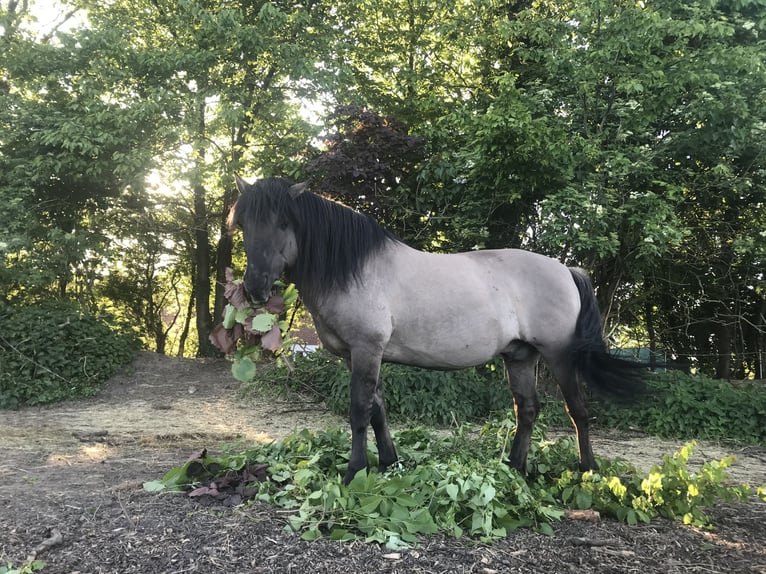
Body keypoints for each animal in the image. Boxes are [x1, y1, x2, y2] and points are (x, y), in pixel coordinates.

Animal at [230, 175, 645, 484]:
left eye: (283, 223)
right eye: (244, 224)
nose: (255, 287)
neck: (354, 268)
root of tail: (565, 269)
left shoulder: (366, 349)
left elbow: (359, 411)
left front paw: (354, 472)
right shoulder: (359, 356)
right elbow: (378, 410)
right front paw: (389, 463)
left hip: (559, 356)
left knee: (578, 410)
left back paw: (587, 470)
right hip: (520, 356)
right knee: (527, 408)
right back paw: (514, 469)